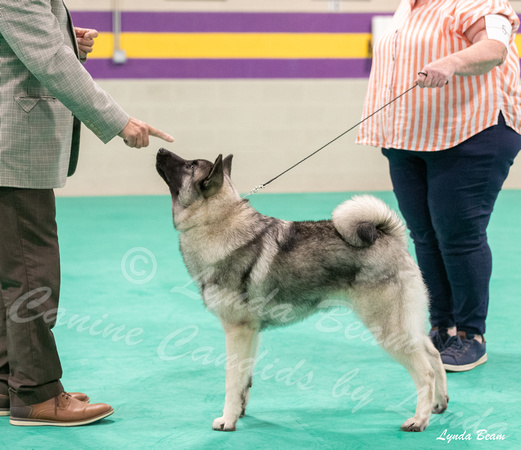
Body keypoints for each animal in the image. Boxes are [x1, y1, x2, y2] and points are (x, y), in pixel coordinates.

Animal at [154, 149, 446, 432]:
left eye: (190, 165)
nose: (160, 149)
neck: (217, 222)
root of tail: (389, 235)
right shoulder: (251, 332)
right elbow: (245, 379)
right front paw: (239, 412)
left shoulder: (237, 331)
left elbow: (231, 379)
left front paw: (227, 419)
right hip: (405, 323)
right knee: (433, 354)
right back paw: (439, 404)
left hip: (389, 330)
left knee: (425, 372)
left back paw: (418, 420)